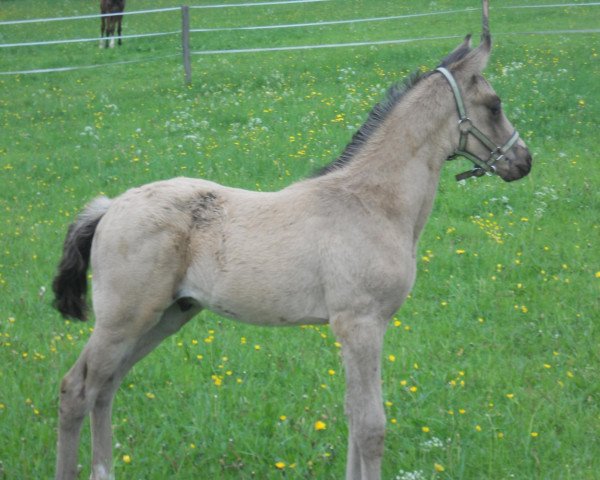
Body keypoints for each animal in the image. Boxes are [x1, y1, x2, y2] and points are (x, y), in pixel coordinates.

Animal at [51, 6, 528, 480]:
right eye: (495, 105)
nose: (524, 160)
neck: (372, 202)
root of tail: (110, 207)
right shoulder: (360, 323)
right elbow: (370, 425)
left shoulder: (360, 327)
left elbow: (352, 416)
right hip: (123, 319)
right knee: (77, 388)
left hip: (168, 315)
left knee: (106, 386)